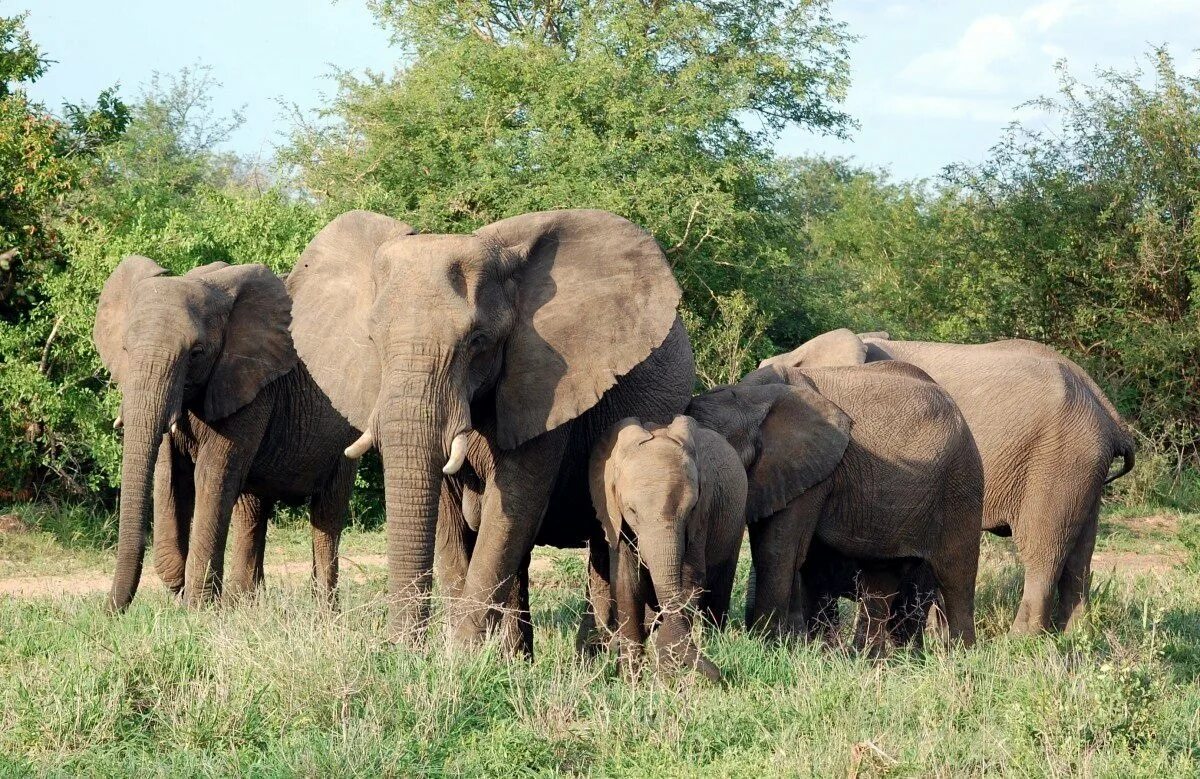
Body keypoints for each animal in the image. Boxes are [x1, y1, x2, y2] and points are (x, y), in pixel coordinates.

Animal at [94, 255, 360, 607]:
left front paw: (197, 605)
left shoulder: (249, 387)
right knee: (252, 508)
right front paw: (182, 583)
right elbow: (169, 474)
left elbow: (211, 475)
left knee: (327, 512)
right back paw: (245, 602)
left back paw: (323, 609)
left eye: (196, 353)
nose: (110, 611)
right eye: (125, 349)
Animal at [285, 207, 696, 648]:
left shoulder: (546, 385)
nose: (397, 648)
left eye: (477, 341)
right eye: (373, 340)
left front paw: (461, 652)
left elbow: (511, 506)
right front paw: (454, 653)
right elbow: (449, 518)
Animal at [588, 415, 744, 676]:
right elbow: (627, 584)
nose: (722, 675)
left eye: (690, 509)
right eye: (632, 511)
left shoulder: (701, 517)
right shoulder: (614, 517)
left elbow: (689, 580)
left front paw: (666, 676)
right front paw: (631, 680)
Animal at [691, 357, 979, 643]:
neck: (749, 397)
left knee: (956, 576)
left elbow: (776, 550)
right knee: (883, 576)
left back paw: (960, 651)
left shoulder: (811, 470)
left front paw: (766, 644)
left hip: (961, 482)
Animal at [763, 328, 1137, 633]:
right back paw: (1071, 639)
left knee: (1044, 551)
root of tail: (1106, 408)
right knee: (1079, 556)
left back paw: (1020, 642)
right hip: (1082, 467)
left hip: (1058, 461)